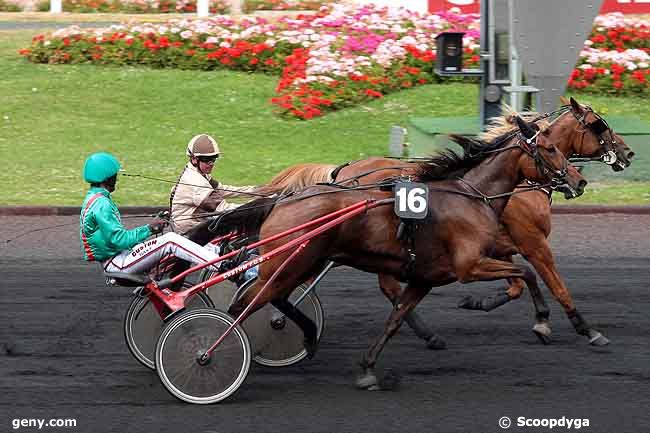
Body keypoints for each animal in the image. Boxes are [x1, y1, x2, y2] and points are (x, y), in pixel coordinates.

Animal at [195, 116, 584, 390]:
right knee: (244, 306)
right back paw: (213, 350)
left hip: (301, 263)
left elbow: (395, 319)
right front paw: (549, 322)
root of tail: (283, 199)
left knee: (272, 299)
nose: (578, 180)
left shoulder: (427, 277)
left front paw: (368, 369)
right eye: (549, 149)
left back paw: (304, 335)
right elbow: (529, 272)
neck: (471, 195)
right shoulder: (470, 265)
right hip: (291, 263)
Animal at [260, 96, 632, 346]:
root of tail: (343, 172)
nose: (628, 153)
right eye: (599, 124)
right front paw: (585, 328)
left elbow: (516, 284)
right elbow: (555, 285)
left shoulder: (495, 247)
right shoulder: (533, 243)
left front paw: (482, 302)